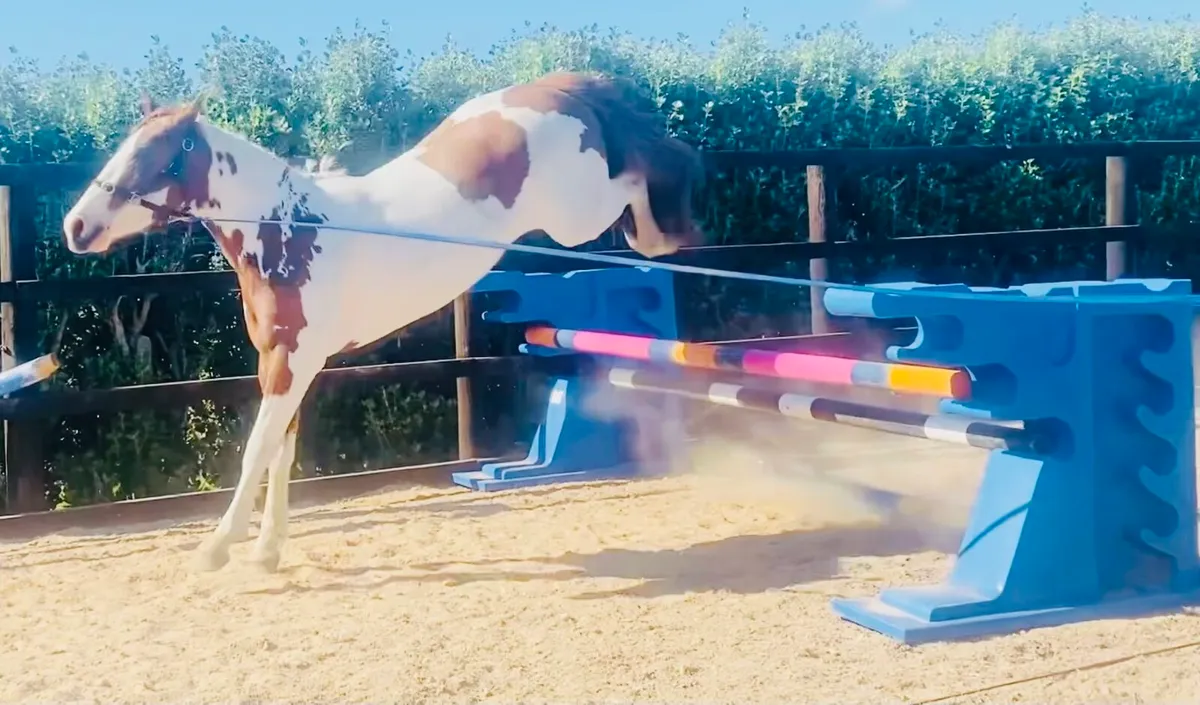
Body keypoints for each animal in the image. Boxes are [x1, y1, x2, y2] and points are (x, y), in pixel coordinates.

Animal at [61, 72, 705, 572]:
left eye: (156, 157)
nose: (75, 228)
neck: (289, 228)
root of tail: (557, 88)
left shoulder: (294, 361)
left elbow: (257, 450)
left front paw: (218, 549)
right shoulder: (282, 360)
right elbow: (280, 452)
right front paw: (267, 552)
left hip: (578, 216)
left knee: (645, 172)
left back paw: (665, 229)